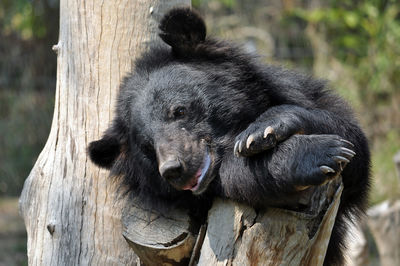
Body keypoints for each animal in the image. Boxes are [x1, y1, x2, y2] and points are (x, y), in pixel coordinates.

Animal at [89, 7, 370, 266]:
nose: (173, 169)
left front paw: (262, 130)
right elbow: (239, 174)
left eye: (179, 111)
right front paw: (318, 154)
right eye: (147, 146)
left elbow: (353, 143)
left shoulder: (299, 93)